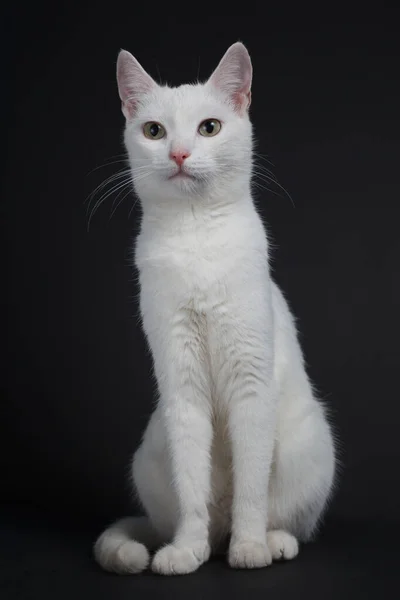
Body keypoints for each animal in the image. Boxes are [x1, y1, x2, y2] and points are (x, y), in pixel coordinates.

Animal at [93, 42, 334, 576]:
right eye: (154, 131)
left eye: (209, 127)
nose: (180, 153)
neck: (195, 236)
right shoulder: (181, 387)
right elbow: (192, 491)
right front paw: (185, 550)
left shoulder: (250, 385)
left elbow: (251, 490)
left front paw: (250, 550)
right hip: (153, 446)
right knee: (202, 519)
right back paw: (202, 545)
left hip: (309, 440)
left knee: (286, 520)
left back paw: (268, 543)